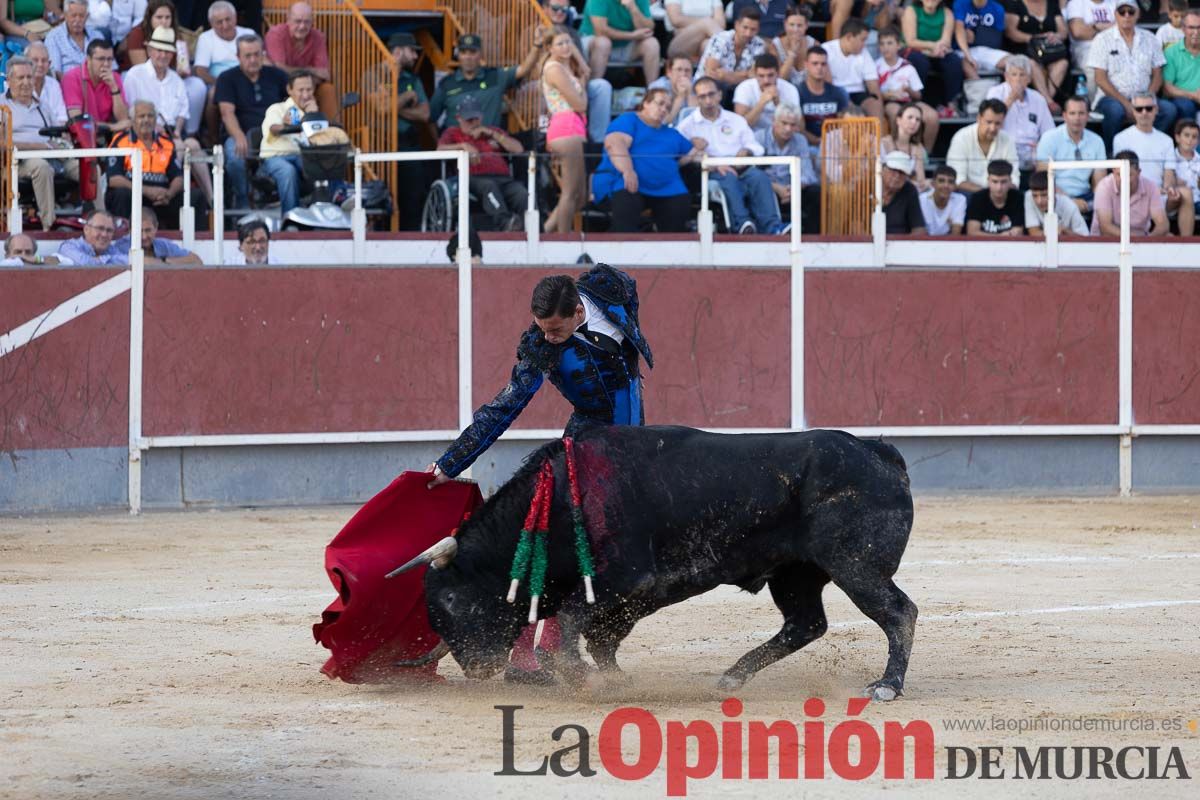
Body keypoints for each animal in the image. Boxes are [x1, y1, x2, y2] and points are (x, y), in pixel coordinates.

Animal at [403, 429, 916, 695]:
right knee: (805, 623)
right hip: (795, 575)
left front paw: (578, 676)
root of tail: (878, 450)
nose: (476, 668)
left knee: (898, 613)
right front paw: (612, 679)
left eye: (452, 599)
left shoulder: (627, 580)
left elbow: (574, 621)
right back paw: (732, 676)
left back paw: (887, 685)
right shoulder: (630, 595)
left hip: (856, 567)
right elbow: (600, 636)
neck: (562, 502)